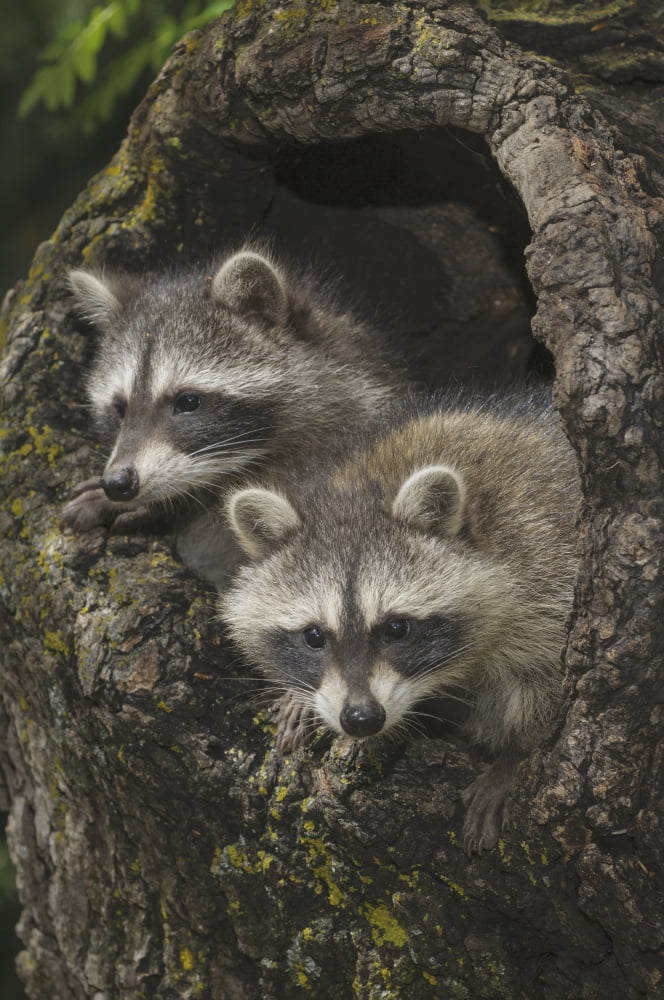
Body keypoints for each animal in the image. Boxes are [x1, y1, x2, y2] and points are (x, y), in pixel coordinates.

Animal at [219, 393, 581, 852]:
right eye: (313, 636)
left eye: (396, 628)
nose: (361, 719)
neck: (366, 482)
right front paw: (298, 695)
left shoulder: (546, 566)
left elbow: (545, 679)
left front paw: (514, 756)